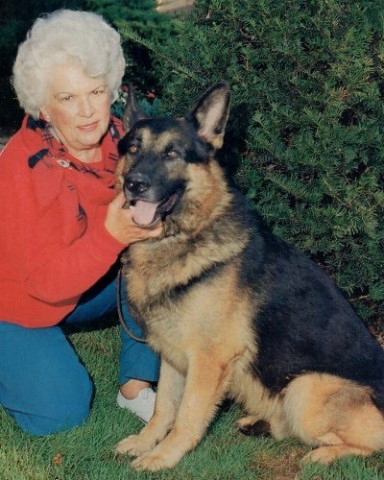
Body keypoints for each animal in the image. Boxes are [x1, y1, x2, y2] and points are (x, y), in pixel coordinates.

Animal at [114, 81, 384, 468]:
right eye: (133, 148)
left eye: (172, 154)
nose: (134, 184)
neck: (186, 235)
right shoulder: (172, 356)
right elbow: (163, 408)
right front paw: (144, 442)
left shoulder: (208, 361)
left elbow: (186, 416)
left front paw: (163, 457)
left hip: (304, 388)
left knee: (368, 443)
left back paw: (323, 454)